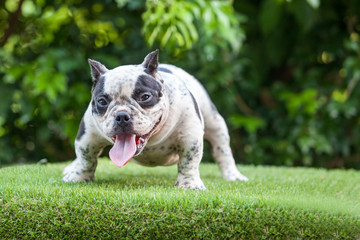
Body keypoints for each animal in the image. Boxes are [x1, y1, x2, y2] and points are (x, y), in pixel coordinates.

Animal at [62, 50, 248, 189]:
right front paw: (79, 177)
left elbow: (189, 161)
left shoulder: (190, 137)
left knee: (222, 150)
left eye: (145, 97)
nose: (122, 116)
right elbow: (86, 158)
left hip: (215, 123)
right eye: (102, 101)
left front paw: (189, 184)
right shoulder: (87, 136)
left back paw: (233, 175)